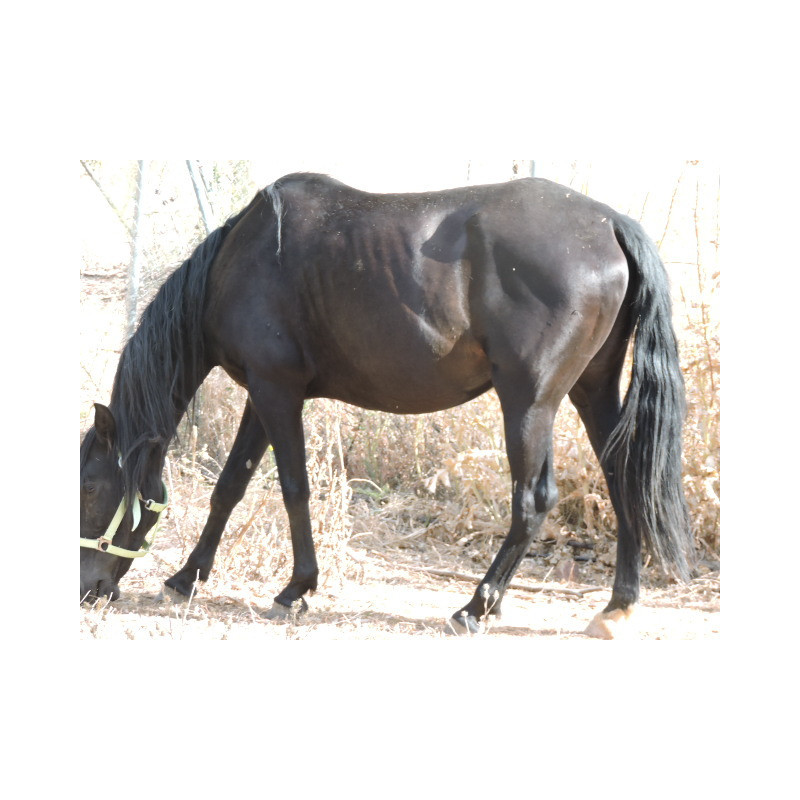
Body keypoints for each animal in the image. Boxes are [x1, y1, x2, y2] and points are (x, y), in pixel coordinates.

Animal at [80, 172, 693, 638]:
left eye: (87, 487)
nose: (89, 591)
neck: (239, 261)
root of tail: (609, 225)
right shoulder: (263, 394)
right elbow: (230, 487)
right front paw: (185, 578)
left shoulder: (276, 391)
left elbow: (292, 488)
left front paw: (296, 589)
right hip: (593, 389)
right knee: (624, 477)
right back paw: (616, 607)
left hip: (530, 402)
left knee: (532, 501)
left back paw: (475, 607)